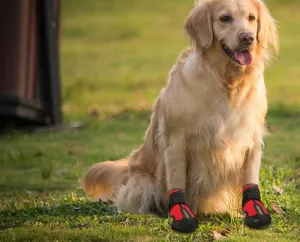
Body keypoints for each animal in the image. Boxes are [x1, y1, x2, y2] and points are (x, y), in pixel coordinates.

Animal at [81, 0, 278, 233]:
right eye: (225, 18)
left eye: (251, 18)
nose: (247, 38)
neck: (227, 83)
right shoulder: (176, 140)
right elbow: (177, 180)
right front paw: (181, 215)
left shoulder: (251, 138)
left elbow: (250, 179)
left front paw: (252, 211)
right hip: (143, 183)